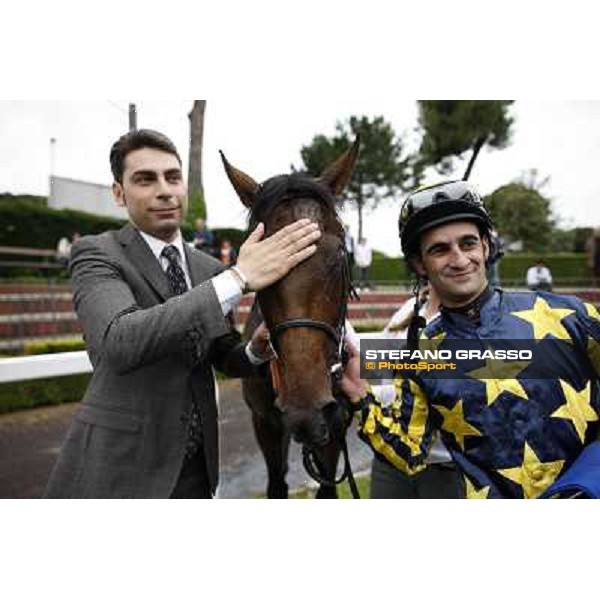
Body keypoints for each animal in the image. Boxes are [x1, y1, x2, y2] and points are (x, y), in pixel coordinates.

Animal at [221, 139, 358, 496]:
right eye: (256, 259)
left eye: (341, 253)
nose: (304, 406)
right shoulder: (266, 423)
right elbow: (276, 482)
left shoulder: (334, 423)